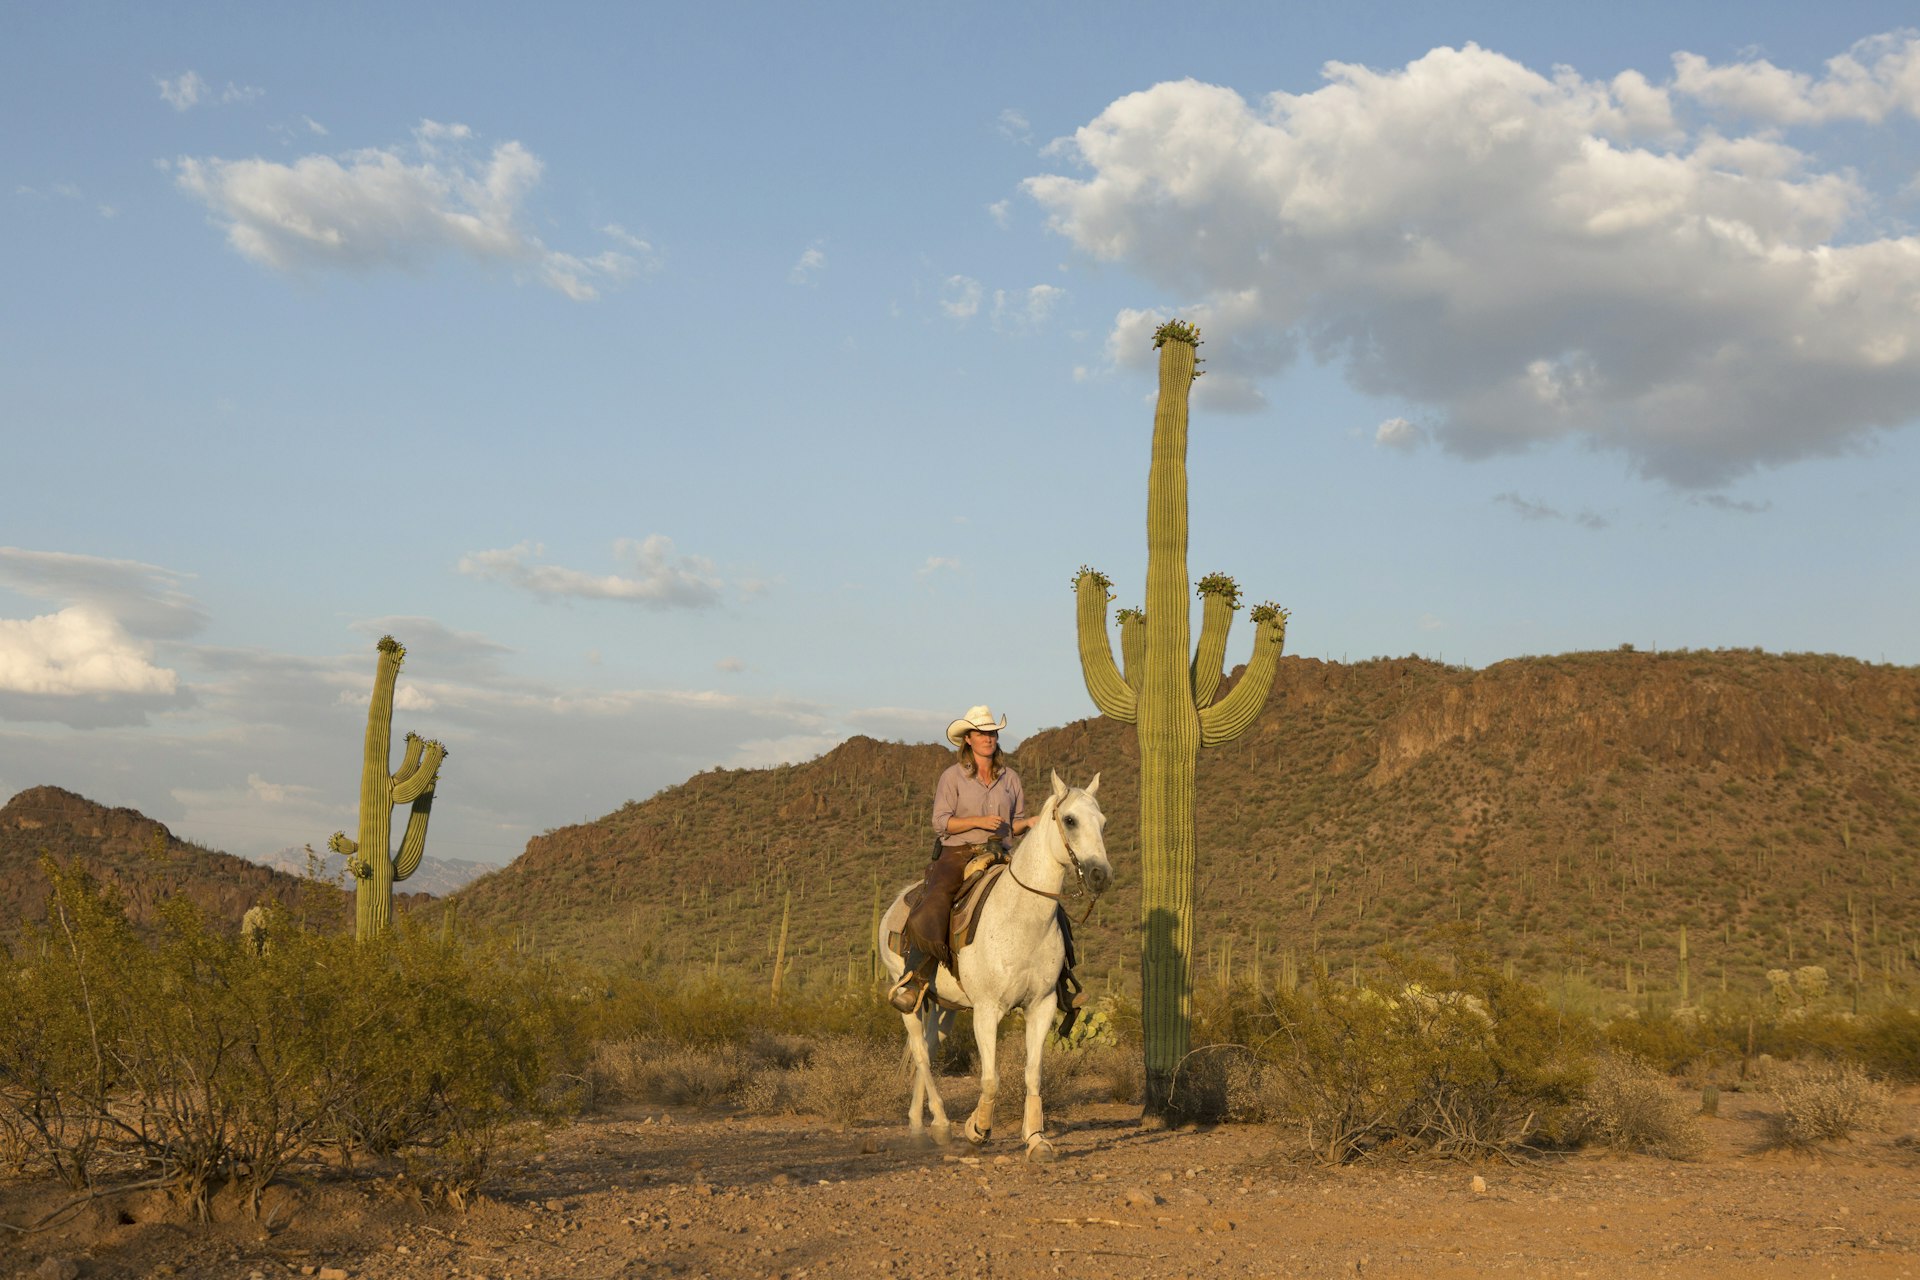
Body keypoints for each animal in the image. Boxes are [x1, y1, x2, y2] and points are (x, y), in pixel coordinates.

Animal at [875, 771, 1113, 1159]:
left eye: (1103, 823)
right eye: (1070, 820)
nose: (1100, 875)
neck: (1020, 919)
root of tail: (898, 902)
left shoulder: (1042, 1005)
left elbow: (1033, 1073)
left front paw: (1036, 1139)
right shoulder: (987, 1010)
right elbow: (990, 1077)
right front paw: (977, 1128)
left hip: (945, 1006)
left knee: (931, 1046)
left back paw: (920, 1127)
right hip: (908, 996)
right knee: (921, 1053)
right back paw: (941, 1125)